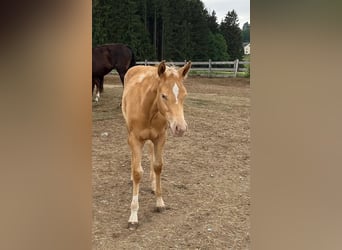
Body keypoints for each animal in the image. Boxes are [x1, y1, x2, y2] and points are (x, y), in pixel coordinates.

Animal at [122, 60, 192, 229]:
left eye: (184, 95)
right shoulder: (135, 139)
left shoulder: (160, 138)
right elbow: (137, 172)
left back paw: (153, 185)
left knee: (150, 154)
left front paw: (160, 202)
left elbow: (158, 166)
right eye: (163, 95)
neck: (148, 108)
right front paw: (133, 216)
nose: (180, 128)